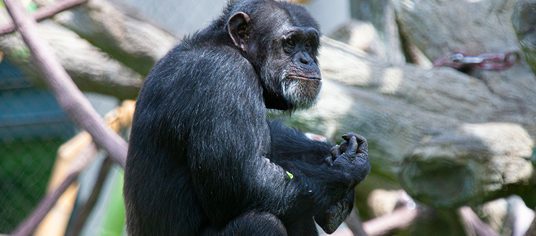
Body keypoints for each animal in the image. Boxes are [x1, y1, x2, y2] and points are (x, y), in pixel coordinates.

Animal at [123, 0, 370, 235]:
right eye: (290, 43)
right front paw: (348, 165)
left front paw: (330, 152)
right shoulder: (226, 77)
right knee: (261, 221)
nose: (306, 60)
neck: (229, 46)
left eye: (309, 44)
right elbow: (244, 181)